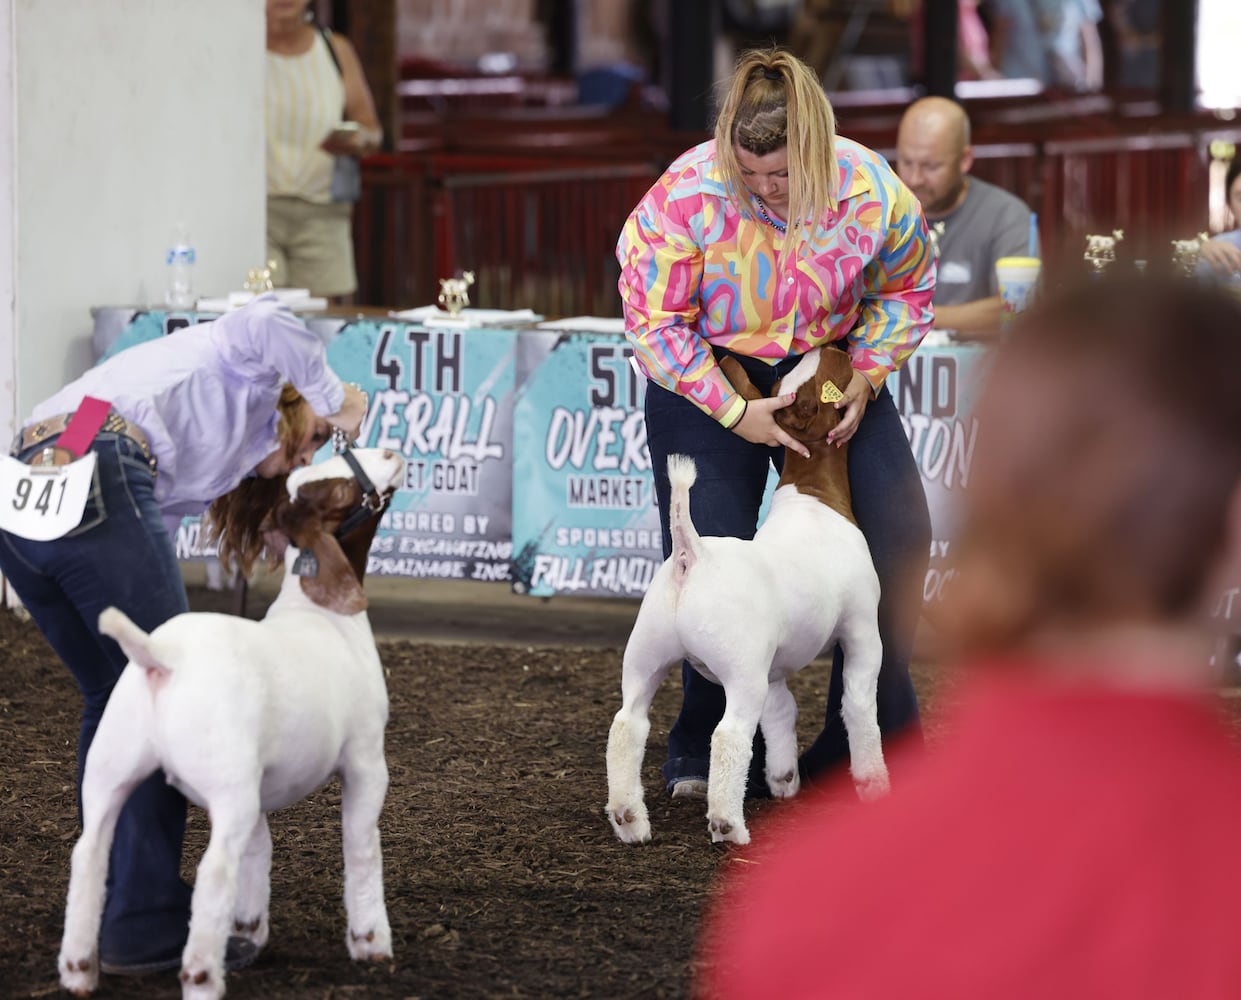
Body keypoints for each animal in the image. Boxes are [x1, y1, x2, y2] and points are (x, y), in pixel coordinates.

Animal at [59, 451, 407, 1000]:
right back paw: (202, 975)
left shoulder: (259, 781)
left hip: (113, 767)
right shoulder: (366, 761)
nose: (392, 454)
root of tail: (162, 657)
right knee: (213, 871)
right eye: (339, 492)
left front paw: (248, 927)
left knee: (90, 854)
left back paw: (78, 970)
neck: (320, 612)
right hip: (226, 785)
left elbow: (260, 850)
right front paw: (371, 940)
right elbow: (361, 847)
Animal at [605, 347, 888, 848]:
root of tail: (691, 552)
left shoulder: (771, 664)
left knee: (628, 724)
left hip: (648, 655)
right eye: (831, 375)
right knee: (730, 736)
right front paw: (874, 782)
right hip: (739, 671)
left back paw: (629, 820)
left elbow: (782, 711)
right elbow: (858, 705)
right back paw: (727, 823)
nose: (835, 347)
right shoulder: (860, 631)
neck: (814, 495)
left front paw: (783, 778)